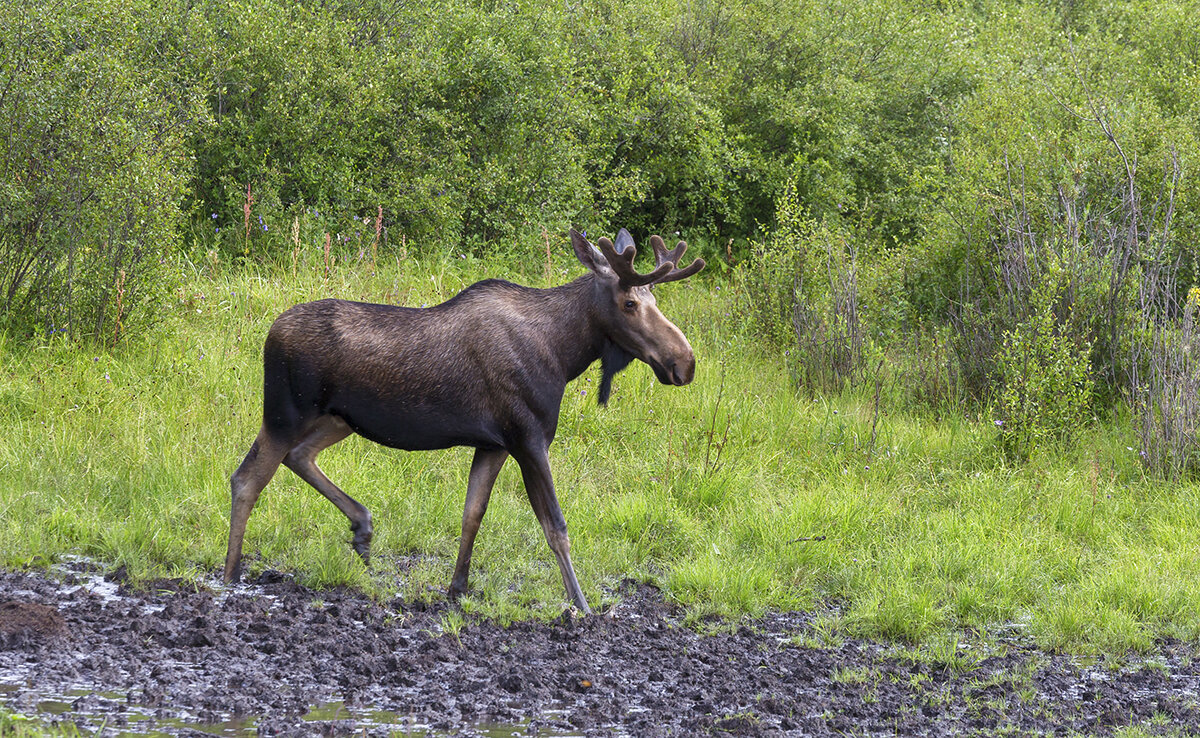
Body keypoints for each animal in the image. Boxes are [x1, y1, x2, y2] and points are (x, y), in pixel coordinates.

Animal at [223, 228, 700, 614]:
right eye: (630, 302)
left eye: (655, 299)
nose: (685, 362)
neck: (564, 355)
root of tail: (270, 333)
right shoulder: (529, 437)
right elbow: (556, 526)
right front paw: (581, 604)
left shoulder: (494, 443)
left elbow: (473, 513)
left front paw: (457, 589)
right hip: (284, 412)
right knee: (247, 478)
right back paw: (230, 575)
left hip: (337, 419)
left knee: (299, 457)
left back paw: (362, 526)